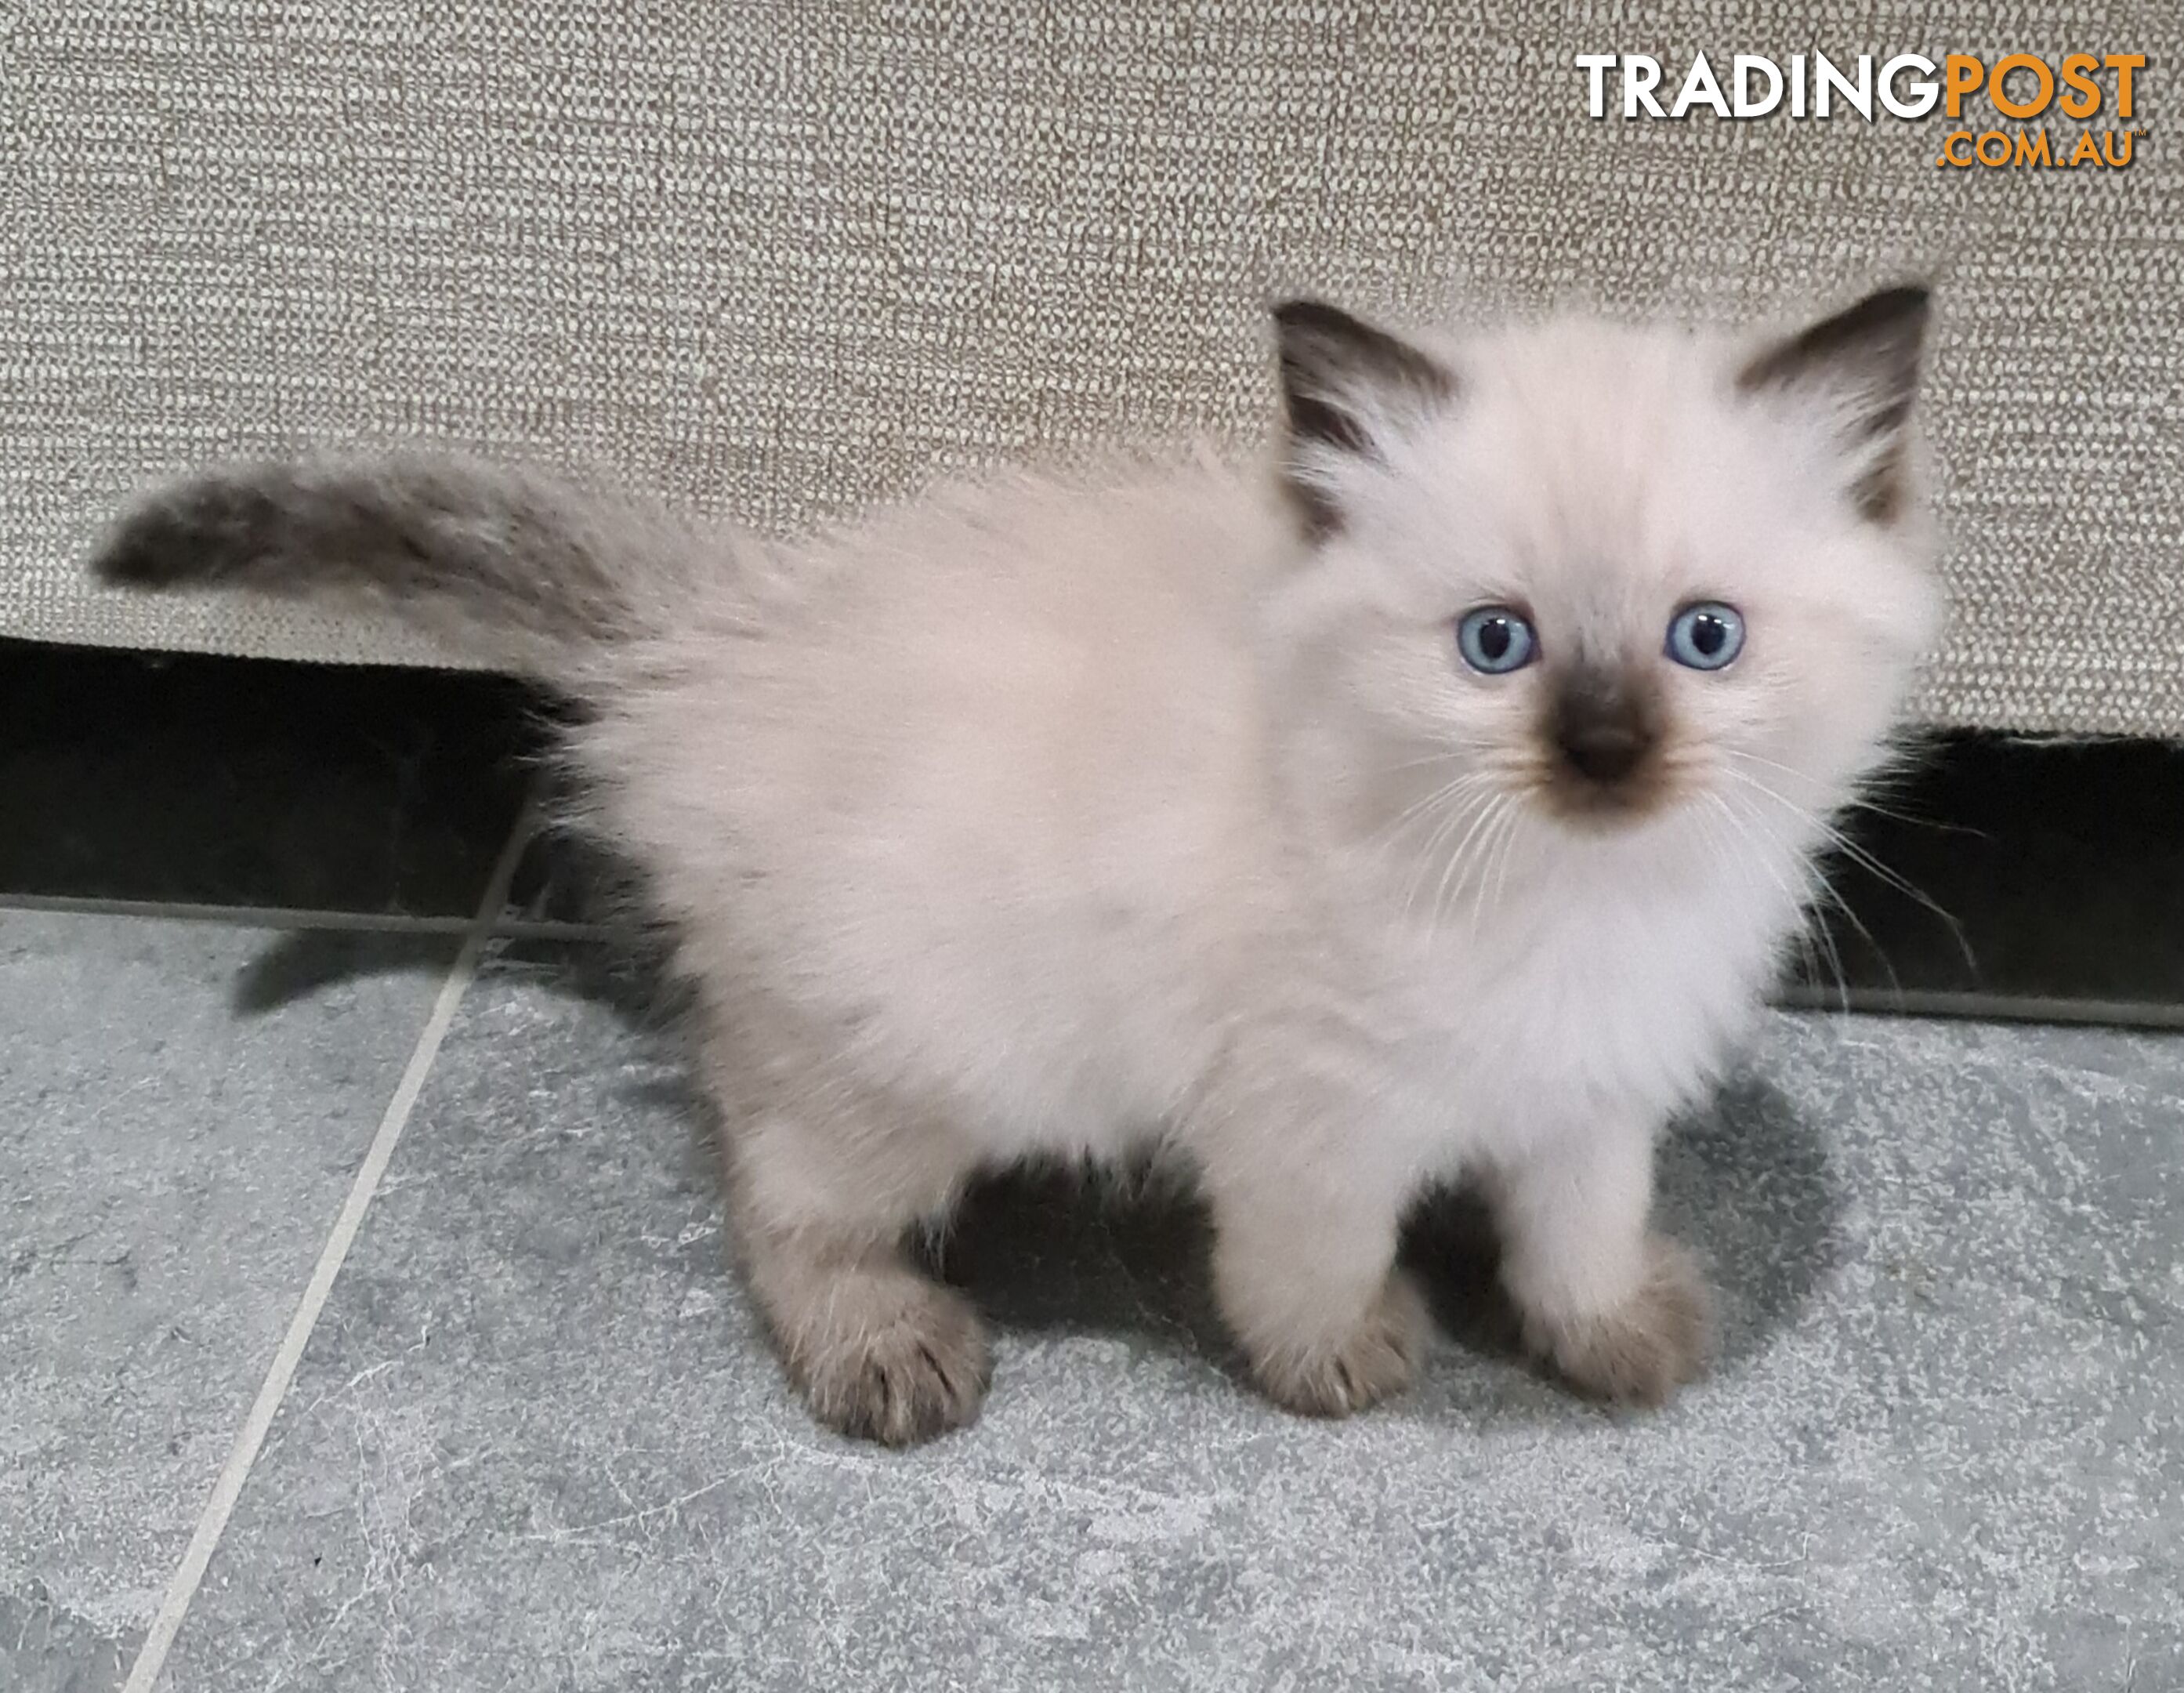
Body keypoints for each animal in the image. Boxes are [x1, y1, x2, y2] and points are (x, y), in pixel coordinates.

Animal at [93, 288, 1948, 1441]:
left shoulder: (1592, 1095)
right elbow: (1309, 1265)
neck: (1577, 903)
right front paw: (1344, 1363)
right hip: (895, 1080)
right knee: (773, 1197)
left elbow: (1577, 1235)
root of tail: (715, 641)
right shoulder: (1310, 1123)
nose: (1605, 753)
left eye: (1703, 639)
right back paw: (886, 1354)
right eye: (1495, 646)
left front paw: (1616, 1339)